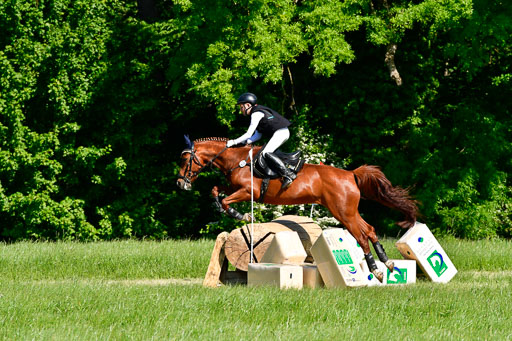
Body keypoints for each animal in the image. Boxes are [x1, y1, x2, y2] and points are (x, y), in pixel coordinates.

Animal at [178, 136, 418, 282]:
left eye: (185, 160)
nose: (180, 184)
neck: (237, 160)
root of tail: (351, 174)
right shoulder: (235, 187)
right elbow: (216, 190)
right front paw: (220, 206)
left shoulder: (248, 191)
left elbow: (228, 200)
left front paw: (241, 214)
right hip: (348, 211)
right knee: (369, 229)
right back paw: (387, 264)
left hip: (342, 212)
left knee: (361, 235)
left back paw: (376, 269)